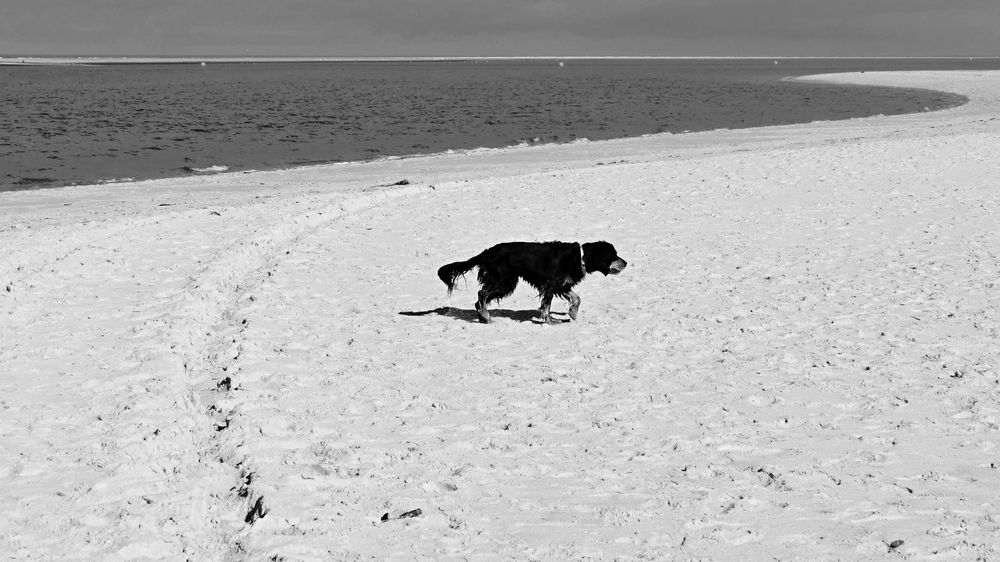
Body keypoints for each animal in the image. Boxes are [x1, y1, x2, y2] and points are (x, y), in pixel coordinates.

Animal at [438, 241, 624, 324]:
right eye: (614, 255)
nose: (626, 263)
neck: (580, 258)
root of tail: (488, 252)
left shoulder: (561, 284)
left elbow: (577, 298)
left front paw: (572, 313)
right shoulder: (550, 284)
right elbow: (547, 306)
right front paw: (550, 321)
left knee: (478, 300)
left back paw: (483, 317)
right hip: (505, 281)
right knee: (481, 293)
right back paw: (486, 316)